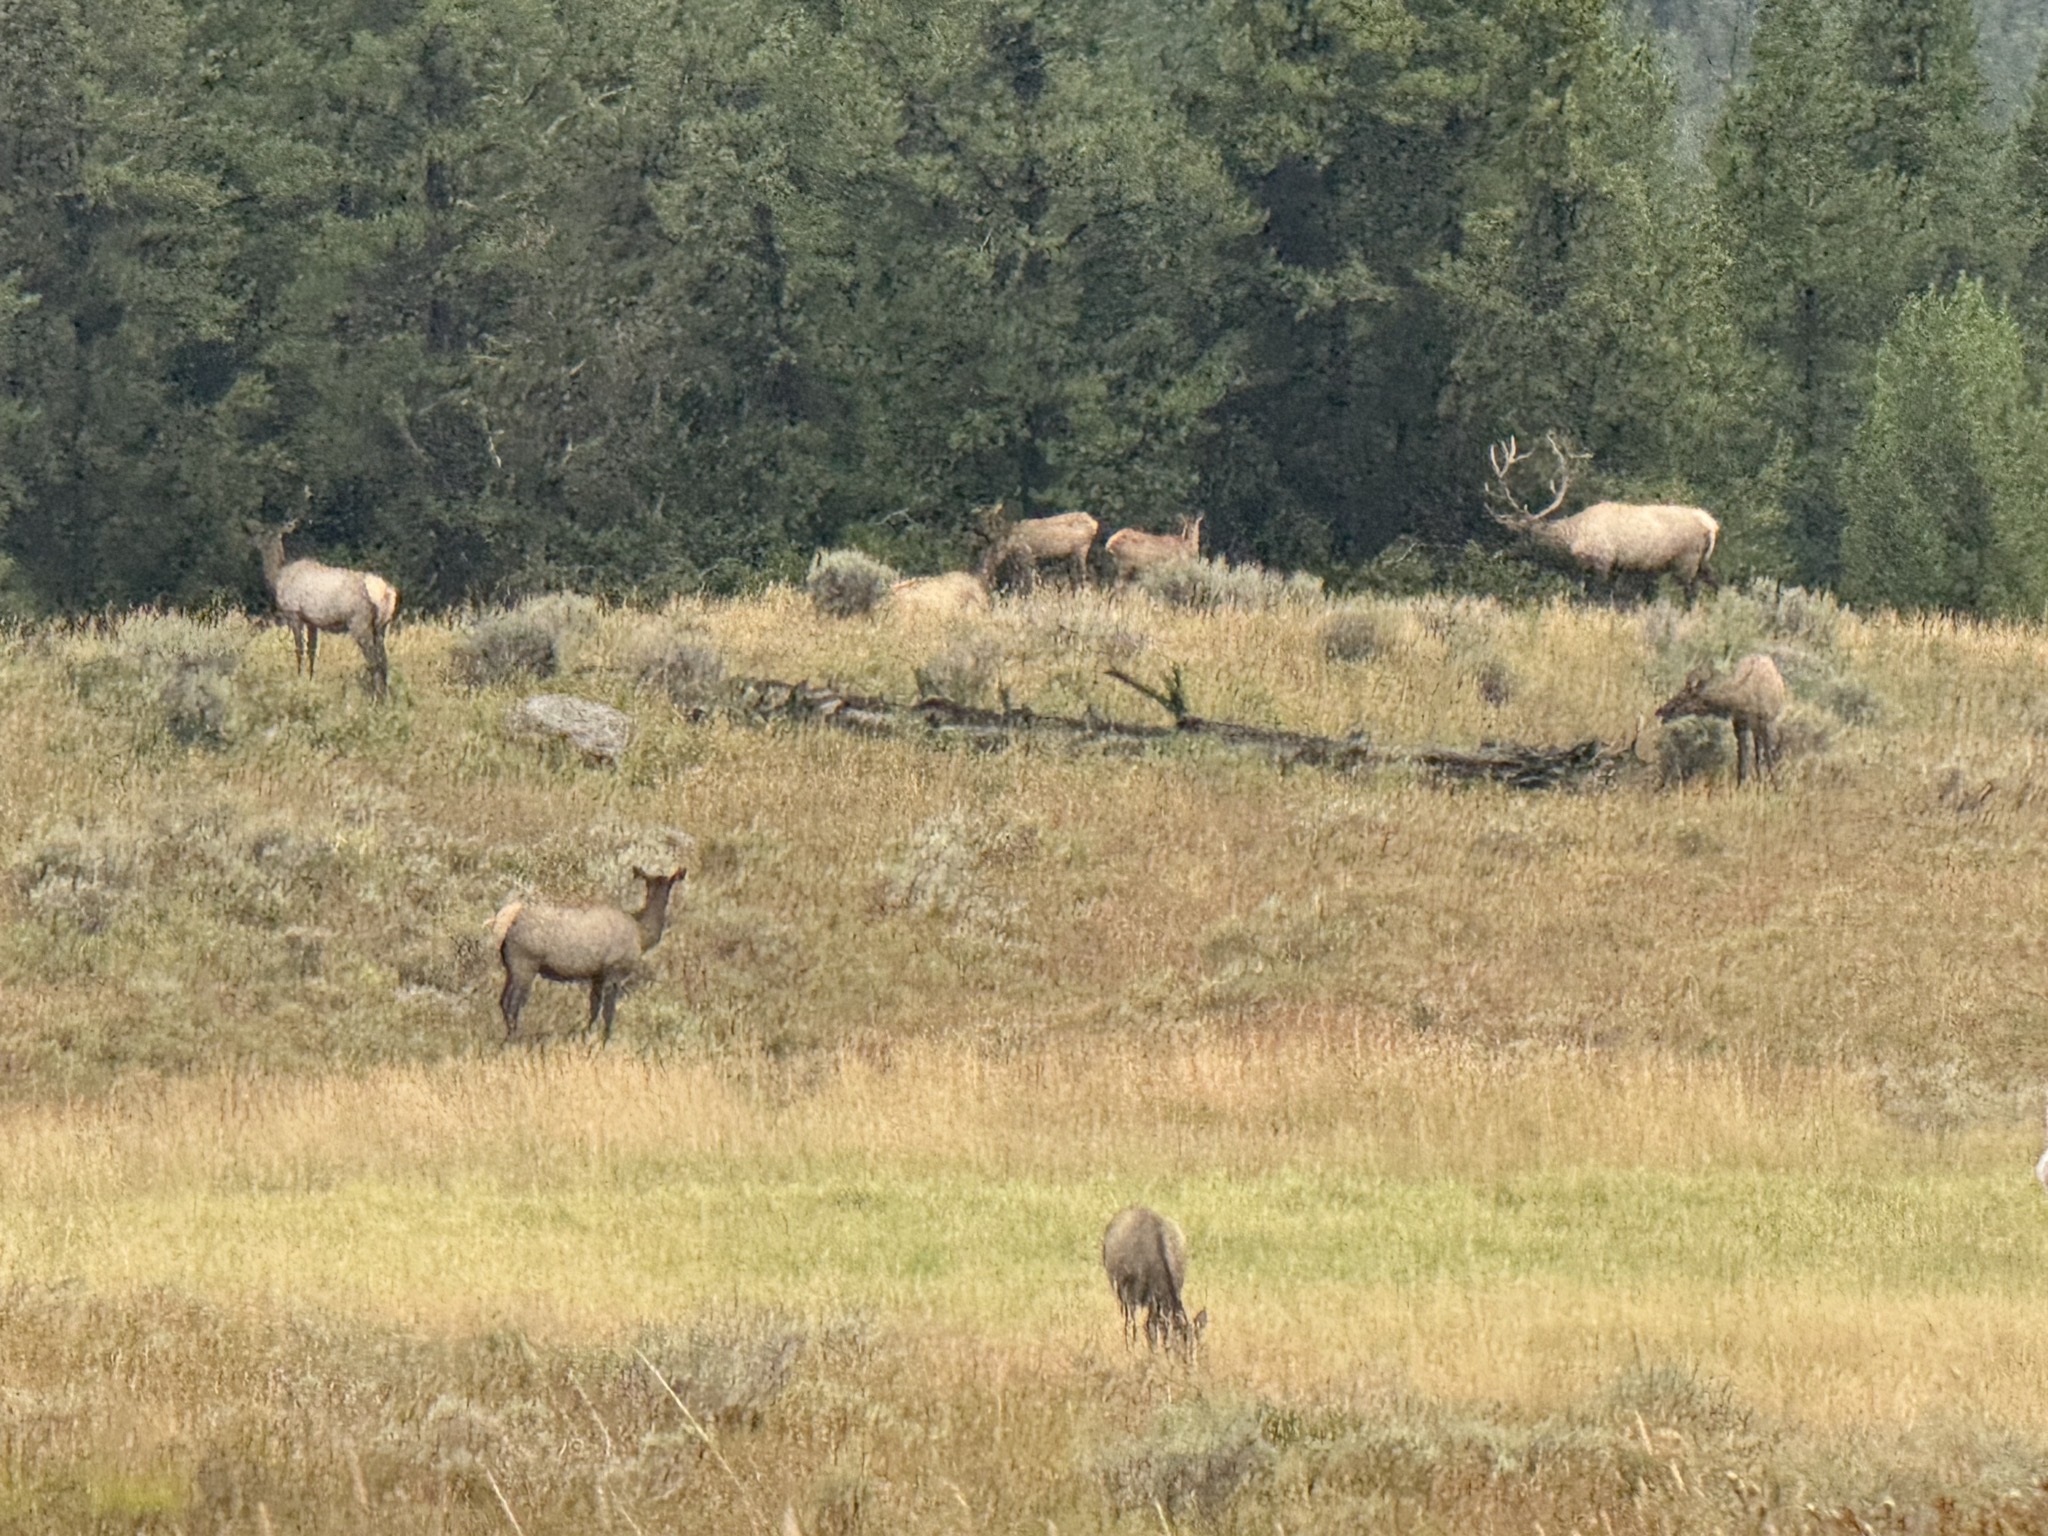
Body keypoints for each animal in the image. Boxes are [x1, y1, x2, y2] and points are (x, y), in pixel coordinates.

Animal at [246, 517, 398, 698]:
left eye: (261, 531)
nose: (251, 541)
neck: (277, 578)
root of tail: (386, 591)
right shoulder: (312, 622)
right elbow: (312, 652)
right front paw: (311, 681)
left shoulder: (294, 614)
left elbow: (299, 650)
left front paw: (299, 679)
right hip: (382, 627)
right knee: (384, 661)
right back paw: (386, 696)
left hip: (360, 623)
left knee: (374, 661)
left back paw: (376, 696)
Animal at [489, 867, 686, 1045]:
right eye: (670, 885)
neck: (642, 935)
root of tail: (505, 923)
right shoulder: (615, 971)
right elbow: (609, 1012)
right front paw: (606, 1041)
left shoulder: (597, 976)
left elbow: (594, 1009)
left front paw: (587, 1038)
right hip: (525, 963)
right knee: (511, 1003)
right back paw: (513, 1040)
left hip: (512, 967)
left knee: (503, 1001)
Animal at [1101, 1205, 1208, 1361]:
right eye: (1179, 1344)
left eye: (1197, 1345)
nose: (1190, 1363)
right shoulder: (1133, 1295)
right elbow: (1137, 1325)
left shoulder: (1156, 1297)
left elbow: (1152, 1325)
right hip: (1122, 1292)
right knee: (1129, 1322)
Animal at [1487, 435, 1719, 602]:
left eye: (1523, 536)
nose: (1501, 555)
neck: (1573, 542)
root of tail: (1711, 525)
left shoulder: (1602, 563)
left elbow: (1599, 599)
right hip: (1702, 562)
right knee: (1715, 583)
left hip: (1686, 561)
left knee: (1692, 593)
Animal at [1656, 653, 1787, 786]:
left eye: (1688, 694)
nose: (1660, 711)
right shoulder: (1741, 725)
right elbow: (1743, 759)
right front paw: (1741, 785)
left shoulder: (1767, 724)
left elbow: (1769, 757)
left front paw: (1775, 785)